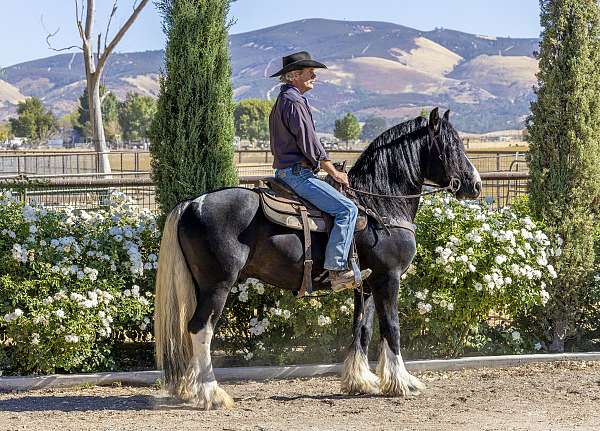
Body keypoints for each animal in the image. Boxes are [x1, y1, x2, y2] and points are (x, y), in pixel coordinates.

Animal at [152, 108, 480, 408]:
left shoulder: (367, 284)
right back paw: (212, 393)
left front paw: (362, 381)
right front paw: (402, 382)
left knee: (189, 329)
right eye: (451, 145)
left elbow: (363, 328)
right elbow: (392, 327)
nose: (475, 185)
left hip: (200, 285)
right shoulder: (389, 278)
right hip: (218, 285)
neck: (380, 205)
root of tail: (191, 204)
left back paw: (191, 389)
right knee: (201, 329)